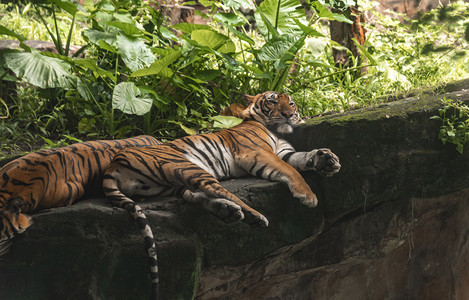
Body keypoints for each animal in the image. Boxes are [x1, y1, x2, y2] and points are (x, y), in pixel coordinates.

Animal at [102, 90, 340, 298]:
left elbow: (300, 158)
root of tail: (113, 164)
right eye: (273, 101)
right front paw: (308, 195)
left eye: (291, 103)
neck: (276, 131)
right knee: (217, 190)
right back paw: (253, 216)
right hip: (184, 166)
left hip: (174, 182)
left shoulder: (283, 151)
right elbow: (290, 170)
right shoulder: (257, 152)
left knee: (194, 195)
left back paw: (228, 212)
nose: (289, 115)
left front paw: (326, 160)